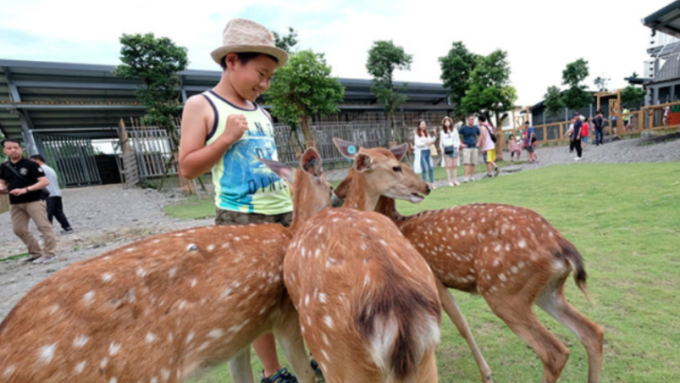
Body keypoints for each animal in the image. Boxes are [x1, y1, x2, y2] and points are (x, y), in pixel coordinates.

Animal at [0, 149, 332, 383]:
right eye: (329, 186)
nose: (337, 195)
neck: (293, 233)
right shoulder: (286, 314)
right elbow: (306, 373)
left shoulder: (237, 335)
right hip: (142, 372)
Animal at [334, 142, 600, 383]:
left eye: (351, 170)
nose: (336, 192)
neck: (399, 222)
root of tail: (563, 247)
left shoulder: (435, 280)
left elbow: (461, 324)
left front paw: (487, 374)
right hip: (547, 291)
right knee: (593, 331)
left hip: (504, 291)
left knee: (555, 352)